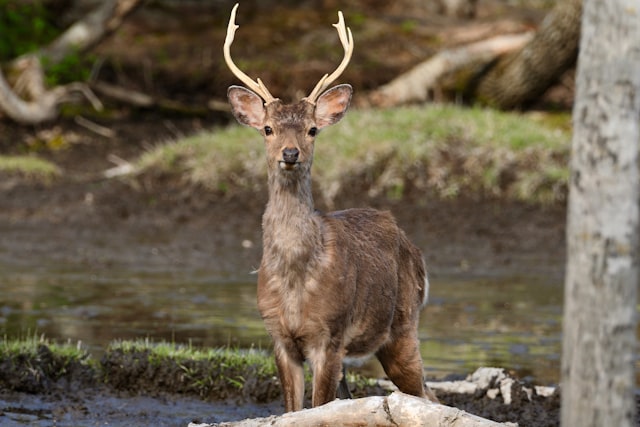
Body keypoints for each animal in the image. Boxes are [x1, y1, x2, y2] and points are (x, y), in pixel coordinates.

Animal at [222, 2, 438, 412]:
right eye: (268, 129)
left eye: (312, 129)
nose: (291, 154)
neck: (296, 276)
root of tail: (415, 250)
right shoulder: (278, 336)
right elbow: (293, 409)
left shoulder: (330, 335)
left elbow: (317, 405)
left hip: (404, 324)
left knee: (426, 392)